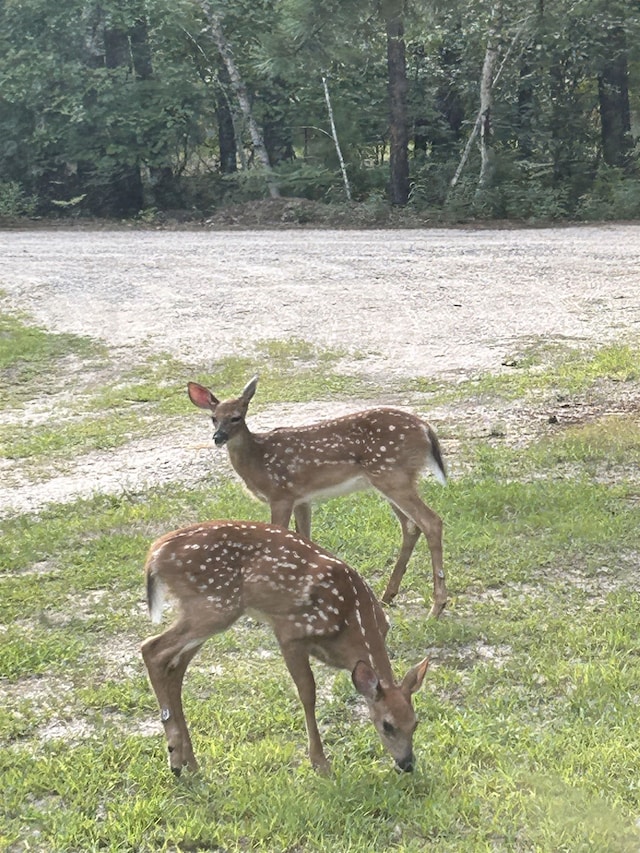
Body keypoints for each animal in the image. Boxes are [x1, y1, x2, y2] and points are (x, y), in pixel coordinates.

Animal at [141, 520, 430, 772]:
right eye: (387, 725)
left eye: (415, 723)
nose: (407, 764)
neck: (352, 620)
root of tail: (155, 553)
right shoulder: (289, 632)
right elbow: (308, 693)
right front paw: (320, 763)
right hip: (215, 606)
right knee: (151, 648)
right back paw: (175, 756)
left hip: (204, 610)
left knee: (174, 667)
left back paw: (189, 761)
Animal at [185, 376, 448, 616]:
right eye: (213, 418)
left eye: (236, 417)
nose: (218, 437)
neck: (258, 460)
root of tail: (426, 429)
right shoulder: (302, 498)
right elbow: (304, 538)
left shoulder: (280, 494)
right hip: (389, 480)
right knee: (411, 526)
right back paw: (387, 596)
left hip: (392, 475)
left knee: (431, 521)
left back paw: (436, 608)